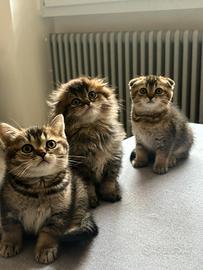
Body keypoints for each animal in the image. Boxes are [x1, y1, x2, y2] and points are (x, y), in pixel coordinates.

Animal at [0, 114, 97, 264]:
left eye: (50, 144)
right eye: (27, 148)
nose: (42, 153)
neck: (39, 188)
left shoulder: (58, 214)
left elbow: (49, 232)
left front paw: (46, 249)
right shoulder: (8, 209)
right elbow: (11, 228)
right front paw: (9, 243)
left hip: (80, 193)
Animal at [48, 77, 126, 208]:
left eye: (92, 94)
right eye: (76, 101)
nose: (88, 103)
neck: (93, 131)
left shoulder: (112, 160)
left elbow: (108, 182)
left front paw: (110, 193)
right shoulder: (81, 168)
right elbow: (88, 187)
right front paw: (92, 200)